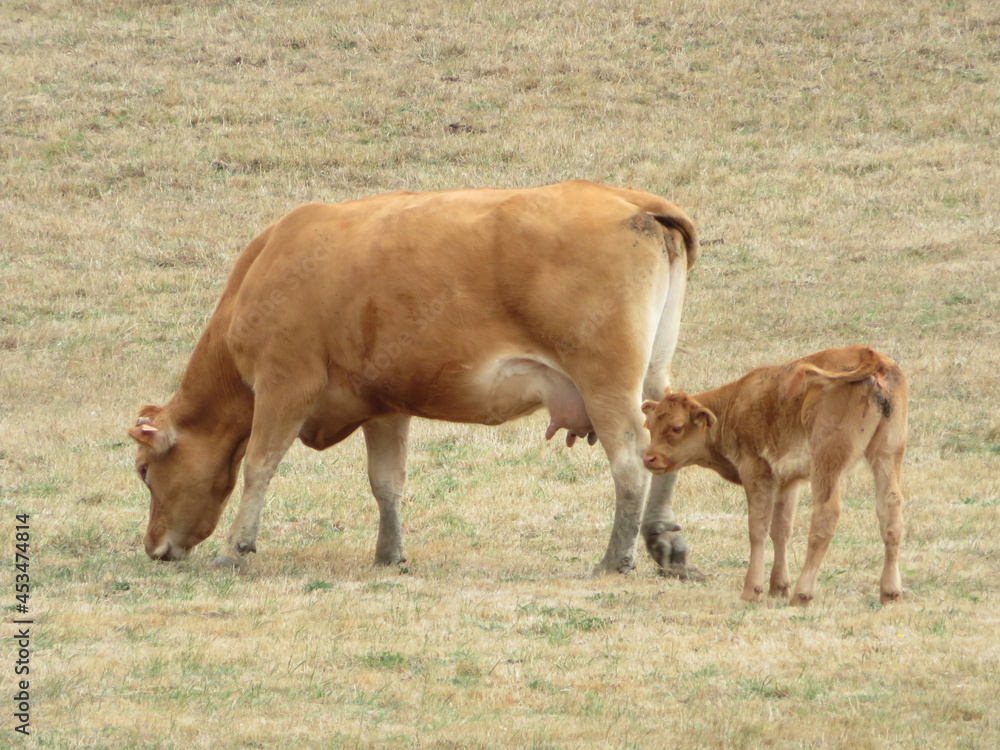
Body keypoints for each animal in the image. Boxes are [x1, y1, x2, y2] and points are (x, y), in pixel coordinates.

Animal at [128, 180, 699, 577]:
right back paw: (662, 539)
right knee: (667, 431)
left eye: (144, 471)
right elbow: (387, 482)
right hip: (652, 372)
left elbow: (258, 465)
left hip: (605, 380)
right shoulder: (383, 403)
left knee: (629, 461)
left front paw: (235, 549)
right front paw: (389, 553)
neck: (269, 261)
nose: (153, 547)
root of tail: (628, 199)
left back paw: (616, 557)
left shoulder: (285, 383)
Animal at [641, 345, 907, 605]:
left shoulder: (756, 471)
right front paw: (778, 587)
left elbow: (758, 528)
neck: (733, 404)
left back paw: (803, 594)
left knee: (826, 514)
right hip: (887, 454)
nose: (649, 458)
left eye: (677, 427)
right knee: (890, 511)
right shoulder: (788, 481)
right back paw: (890, 592)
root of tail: (870, 355)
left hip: (826, 461)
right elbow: (781, 530)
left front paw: (752, 590)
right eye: (649, 426)